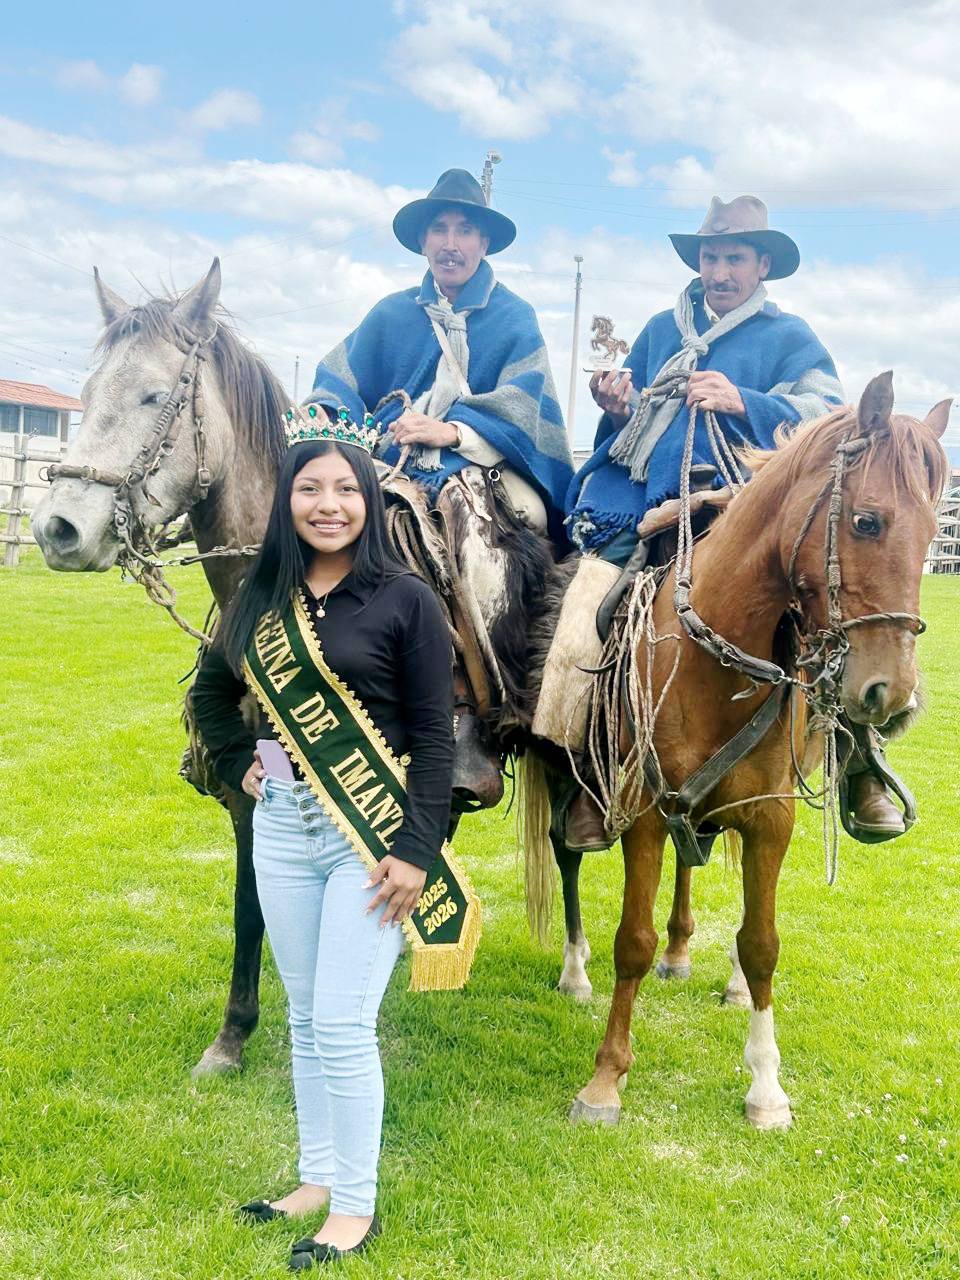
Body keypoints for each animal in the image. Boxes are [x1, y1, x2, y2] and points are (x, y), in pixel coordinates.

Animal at [31, 259, 552, 1076]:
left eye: (153, 395)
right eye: (85, 395)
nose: (57, 528)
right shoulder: (248, 789)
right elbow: (252, 907)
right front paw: (232, 1035)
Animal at [522, 373, 948, 1129]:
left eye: (934, 535)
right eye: (867, 521)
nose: (892, 697)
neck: (716, 656)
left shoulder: (770, 817)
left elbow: (761, 944)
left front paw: (766, 1085)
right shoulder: (645, 812)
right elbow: (630, 942)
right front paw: (605, 1080)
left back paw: (695, 959)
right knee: (567, 852)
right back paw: (574, 970)